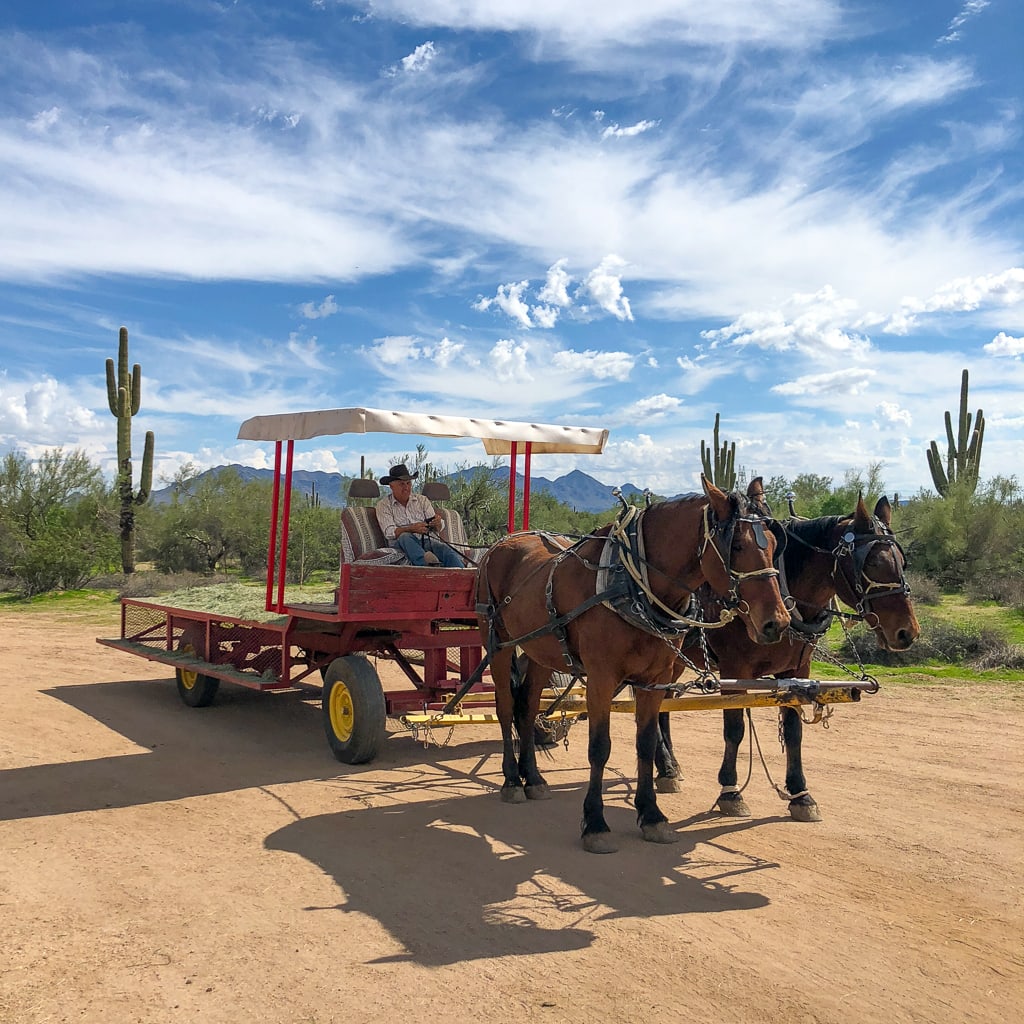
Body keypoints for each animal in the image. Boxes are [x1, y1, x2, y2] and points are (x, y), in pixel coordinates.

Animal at [477, 475, 790, 851]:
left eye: (774, 544)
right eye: (738, 546)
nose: (777, 623)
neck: (632, 583)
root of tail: (502, 543)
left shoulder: (654, 681)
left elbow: (646, 743)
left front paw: (652, 815)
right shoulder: (601, 678)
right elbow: (599, 748)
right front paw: (595, 823)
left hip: (542, 650)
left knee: (526, 706)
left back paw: (533, 778)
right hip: (498, 642)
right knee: (506, 707)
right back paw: (512, 780)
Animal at [655, 475, 921, 819]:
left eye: (902, 561)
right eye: (872, 562)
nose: (907, 632)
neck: (784, 594)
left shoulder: (798, 670)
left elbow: (794, 730)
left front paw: (800, 794)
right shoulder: (733, 669)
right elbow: (734, 728)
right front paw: (730, 790)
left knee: (663, 703)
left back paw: (669, 767)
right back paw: (665, 767)